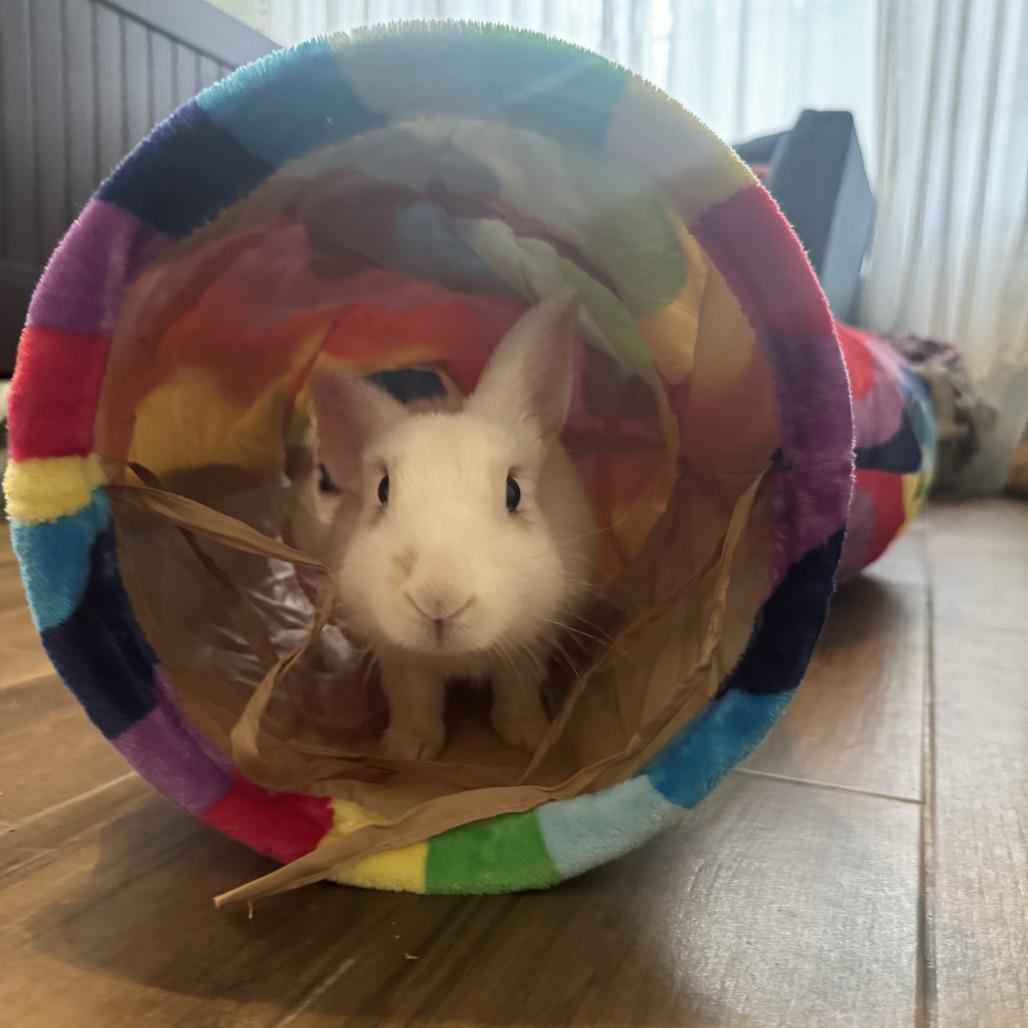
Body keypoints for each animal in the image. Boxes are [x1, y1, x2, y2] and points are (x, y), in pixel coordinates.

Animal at [310, 290, 598, 761]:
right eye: (383, 490)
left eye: (513, 492)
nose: (439, 598)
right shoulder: (401, 661)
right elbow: (415, 700)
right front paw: (408, 751)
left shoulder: (531, 642)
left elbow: (517, 689)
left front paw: (526, 736)